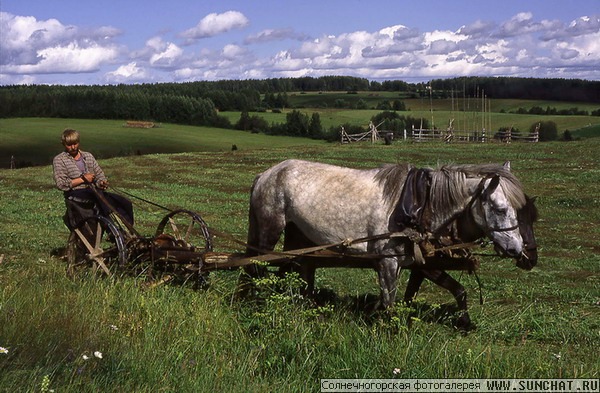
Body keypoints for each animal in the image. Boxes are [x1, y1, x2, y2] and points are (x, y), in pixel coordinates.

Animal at [244, 159, 528, 328]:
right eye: (501, 209)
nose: (517, 250)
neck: (417, 204)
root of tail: (265, 174)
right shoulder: (388, 262)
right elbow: (390, 302)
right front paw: (391, 333)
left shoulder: (411, 261)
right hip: (270, 230)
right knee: (255, 267)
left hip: (297, 236)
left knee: (295, 269)